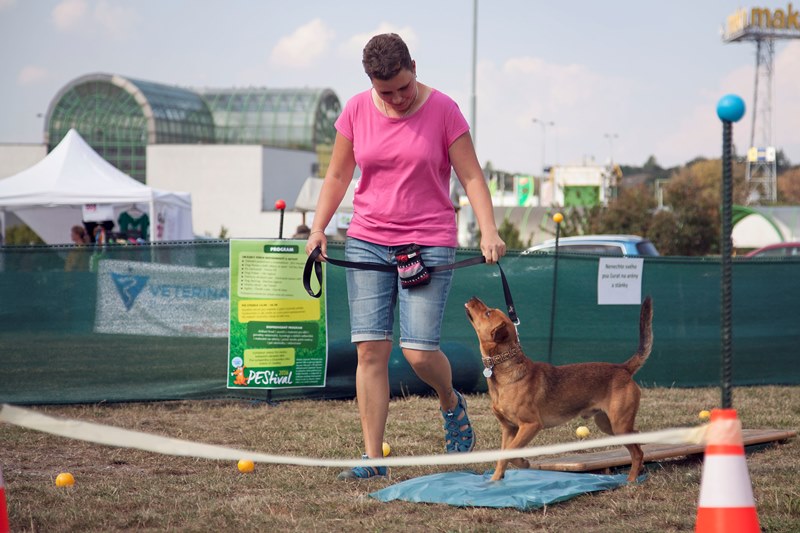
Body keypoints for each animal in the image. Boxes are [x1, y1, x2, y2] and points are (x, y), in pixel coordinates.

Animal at [466, 296, 652, 482]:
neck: (505, 369)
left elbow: (511, 452)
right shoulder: (509, 428)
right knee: (637, 438)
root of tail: (623, 368)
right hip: (608, 424)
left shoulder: (530, 425)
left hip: (619, 425)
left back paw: (631, 480)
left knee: (637, 452)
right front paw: (494, 481)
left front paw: (523, 463)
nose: (473, 298)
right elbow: (503, 457)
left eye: (488, 313)